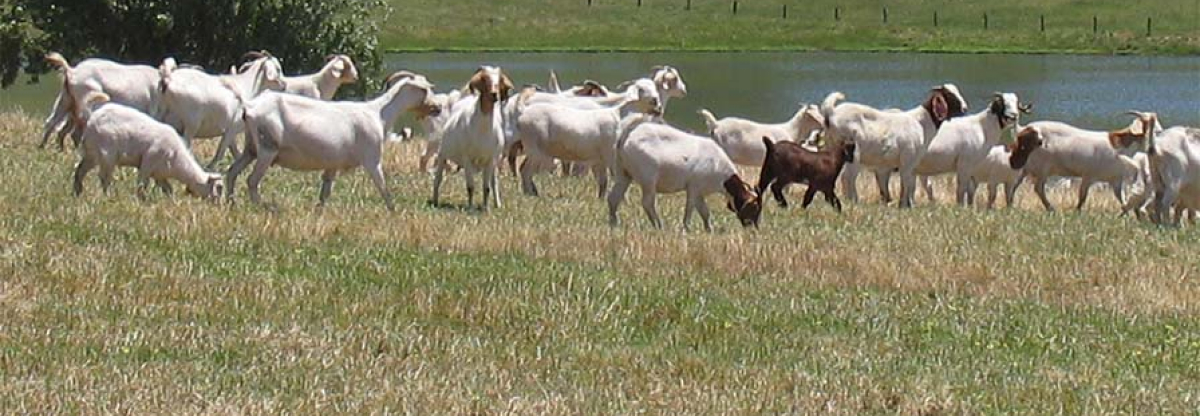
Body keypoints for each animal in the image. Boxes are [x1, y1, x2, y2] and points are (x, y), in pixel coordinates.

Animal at [228, 71, 438, 210]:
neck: (378, 113)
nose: (436, 108)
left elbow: (326, 191)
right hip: (267, 148)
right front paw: (393, 211)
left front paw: (320, 211)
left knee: (232, 172)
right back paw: (262, 207)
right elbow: (383, 187)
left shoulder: (333, 163)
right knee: (251, 180)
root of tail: (249, 107)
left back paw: (232, 203)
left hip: (251, 149)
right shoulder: (372, 159)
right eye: (425, 89)